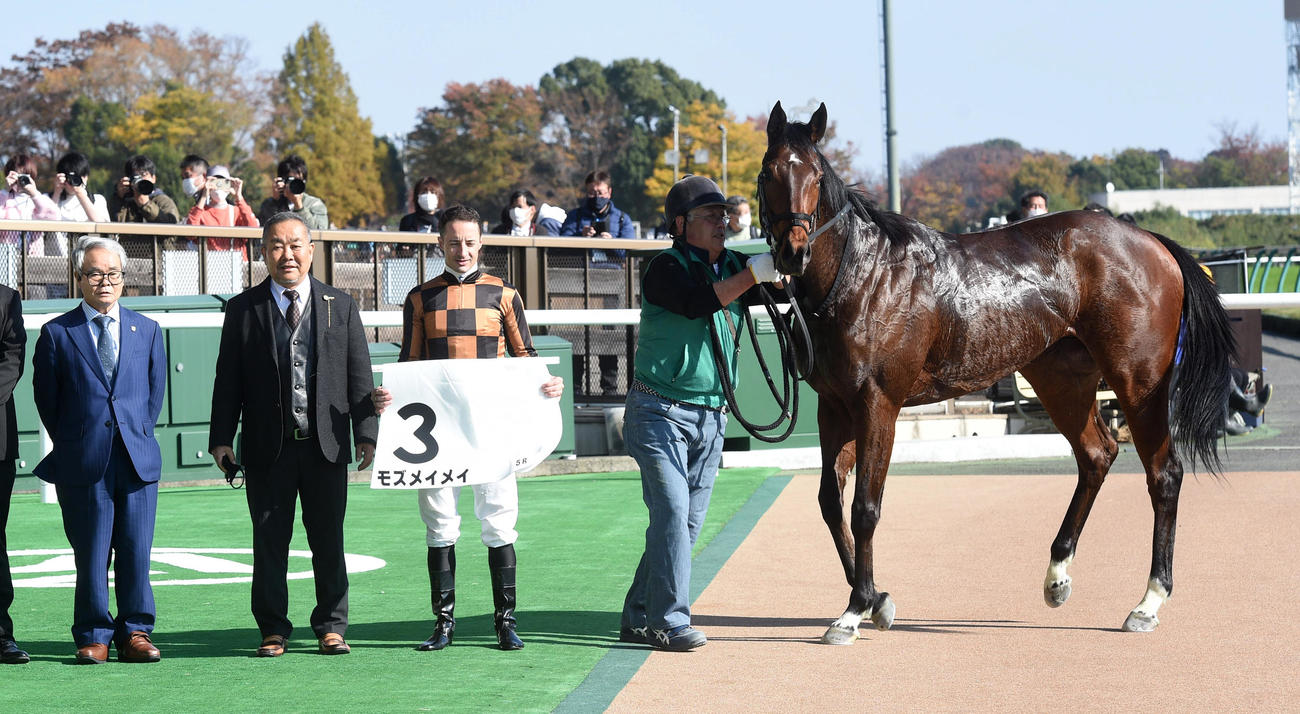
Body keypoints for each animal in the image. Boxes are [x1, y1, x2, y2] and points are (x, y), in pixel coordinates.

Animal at [758, 101, 1234, 644]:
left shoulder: (878, 403)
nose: (793, 251)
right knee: (1097, 455)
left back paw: (1149, 601)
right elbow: (828, 501)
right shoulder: (834, 406)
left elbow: (865, 508)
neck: (863, 276)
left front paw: (856, 608)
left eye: (816, 177)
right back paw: (1057, 574)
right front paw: (875, 599)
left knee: (1163, 474)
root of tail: (1152, 241)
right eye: (769, 172)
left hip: (1139, 382)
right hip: (1060, 379)